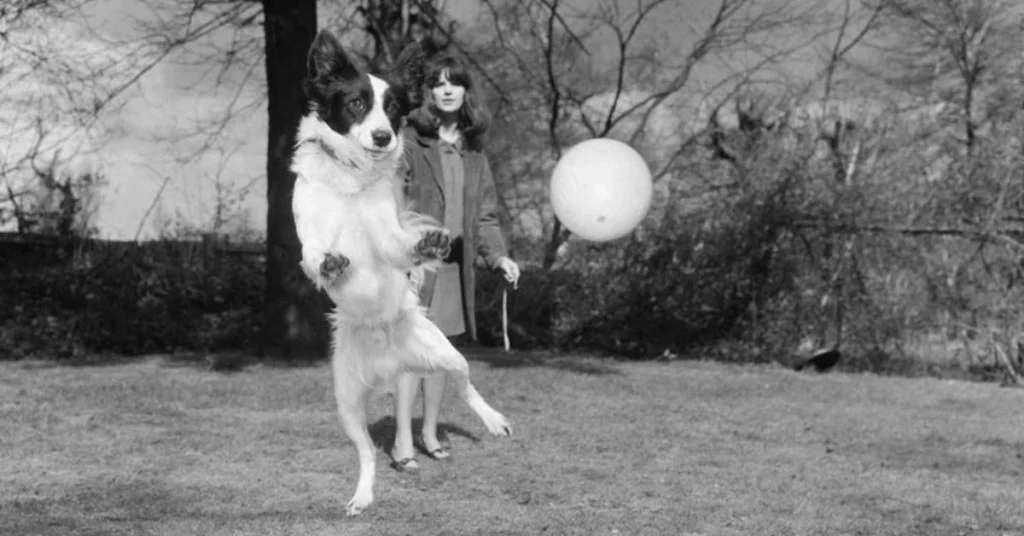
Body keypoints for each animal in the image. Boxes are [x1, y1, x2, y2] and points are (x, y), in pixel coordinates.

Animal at [288, 31, 512, 518]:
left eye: (393, 109)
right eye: (356, 103)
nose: (383, 136)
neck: (352, 180)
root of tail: (389, 360)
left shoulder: (386, 235)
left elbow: (400, 244)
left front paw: (426, 245)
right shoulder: (309, 228)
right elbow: (313, 253)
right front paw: (329, 264)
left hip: (448, 356)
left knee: (466, 388)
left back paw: (493, 421)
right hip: (347, 404)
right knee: (368, 455)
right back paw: (362, 496)